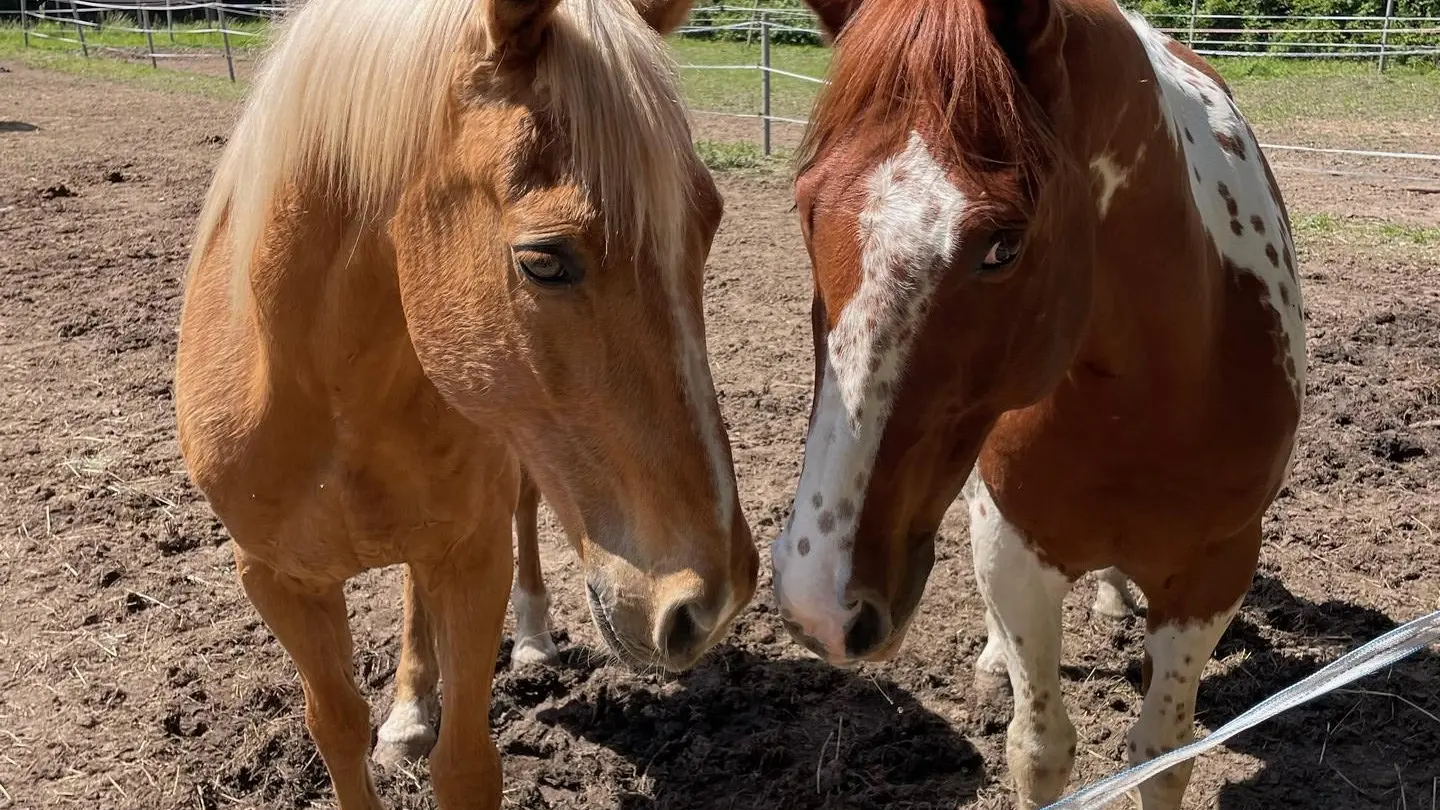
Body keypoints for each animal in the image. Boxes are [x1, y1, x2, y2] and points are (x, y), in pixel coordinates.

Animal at [172, 0, 760, 804]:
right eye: (543, 260)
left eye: (709, 224)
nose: (711, 599)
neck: (329, 401)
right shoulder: (274, 579)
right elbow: (336, 728)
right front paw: (395, 723)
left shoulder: (474, 556)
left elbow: (467, 765)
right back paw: (410, 713)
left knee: (524, 509)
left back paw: (535, 638)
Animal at [769, 0, 1305, 807]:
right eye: (806, 209)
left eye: (1004, 245)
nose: (819, 604)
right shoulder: (1014, 544)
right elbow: (1041, 749)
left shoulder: (1217, 568)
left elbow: (1161, 755)